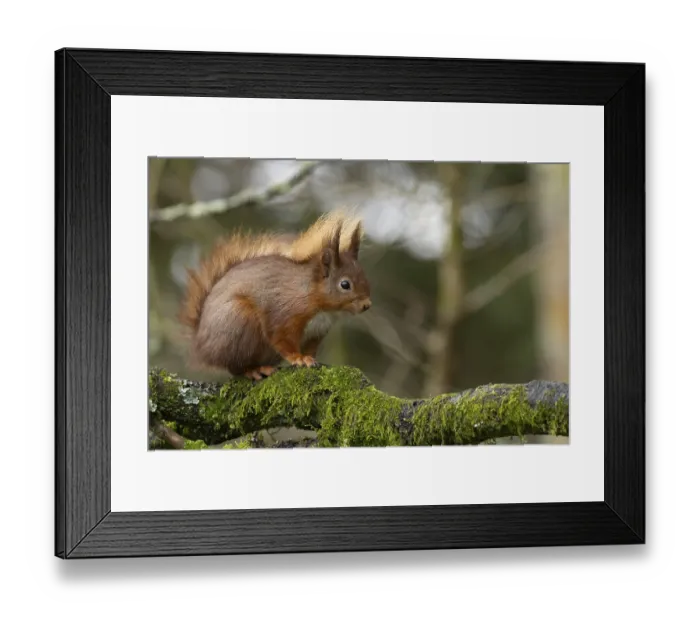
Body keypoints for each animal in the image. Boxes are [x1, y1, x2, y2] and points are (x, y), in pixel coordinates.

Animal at [178, 210, 372, 381]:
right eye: (345, 285)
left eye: (364, 275)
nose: (367, 305)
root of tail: (201, 347)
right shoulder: (284, 315)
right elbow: (282, 339)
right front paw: (298, 358)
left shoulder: (317, 333)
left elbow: (310, 349)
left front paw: (310, 358)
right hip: (240, 320)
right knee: (235, 366)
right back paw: (254, 370)